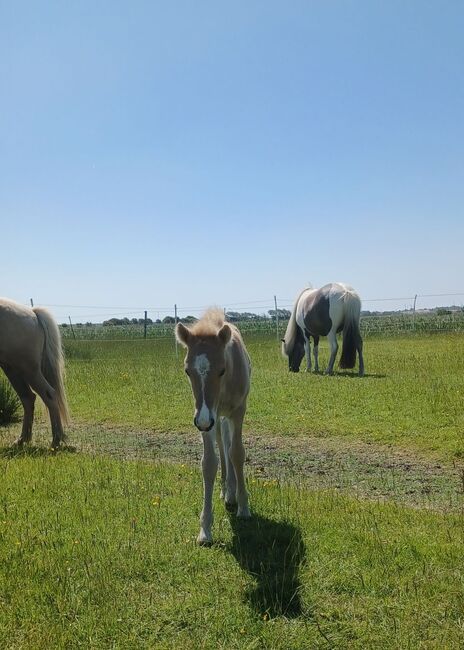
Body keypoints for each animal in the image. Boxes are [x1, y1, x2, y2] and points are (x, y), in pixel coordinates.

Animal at [0, 298, 70, 446]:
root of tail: (33, 313)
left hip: (29, 370)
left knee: (49, 395)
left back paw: (56, 440)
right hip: (12, 370)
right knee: (28, 398)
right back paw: (22, 439)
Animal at [176, 308, 252, 540]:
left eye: (222, 370)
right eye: (187, 371)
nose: (202, 421)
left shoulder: (238, 411)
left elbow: (237, 453)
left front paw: (244, 507)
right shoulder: (207, 417)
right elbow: (209, 463)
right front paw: (205, 530)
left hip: (224, 416)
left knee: (229, 446)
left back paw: (232, 494)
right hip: (216, 418)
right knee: (222, 442)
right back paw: (226, 490)